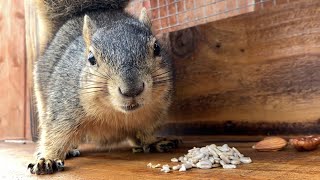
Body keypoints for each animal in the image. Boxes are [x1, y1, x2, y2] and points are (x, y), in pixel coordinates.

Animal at [28, 0, 178, 174]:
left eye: (157, 48)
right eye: (91, 58)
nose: (132, 90)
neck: (117, 113)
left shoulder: (155, 112)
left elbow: (146, 131)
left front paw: (153, 141)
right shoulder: (64, 108)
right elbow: (55, 135)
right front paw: (47, 158)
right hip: (42, 101)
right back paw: (69, 150)